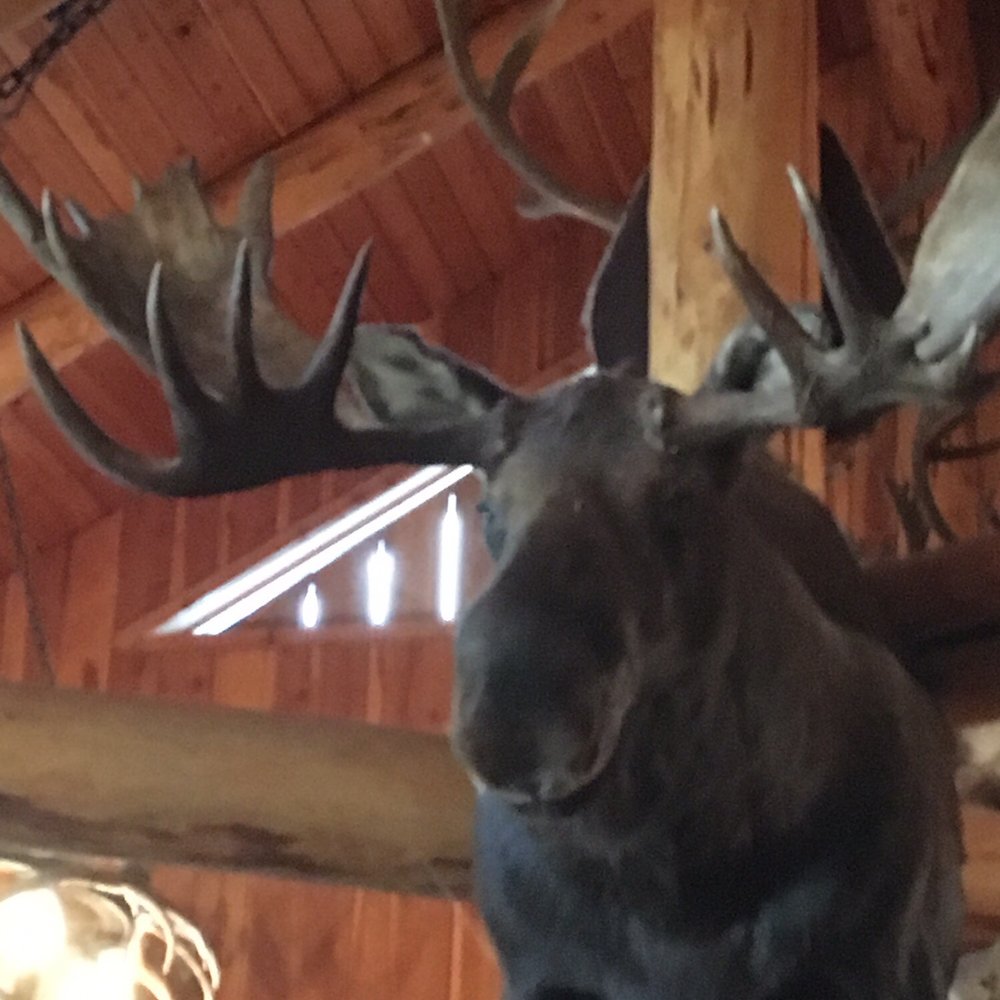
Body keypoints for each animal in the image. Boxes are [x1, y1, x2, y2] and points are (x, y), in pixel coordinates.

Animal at [3, 3, 1000, 997]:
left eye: (679, 500)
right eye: (487, 510)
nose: (517, 717)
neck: (681, 894)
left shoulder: (882, 959)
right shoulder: (540, 967)